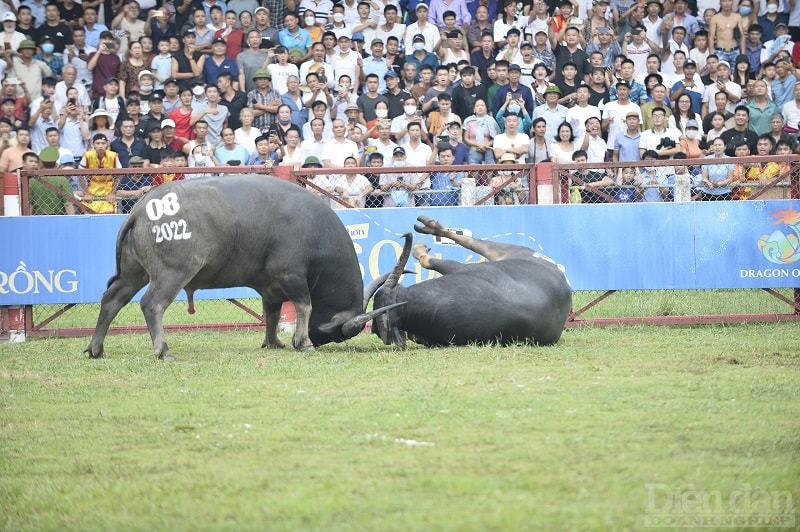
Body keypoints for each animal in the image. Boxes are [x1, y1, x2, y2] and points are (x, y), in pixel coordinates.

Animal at [85, 177, 396, 360]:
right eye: (336, 334)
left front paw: (274, 342)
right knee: (152, 304)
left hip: (133, 272)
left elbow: (271, 314)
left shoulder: (271, 287)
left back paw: (96, 348)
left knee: (112, 299)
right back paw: (163, 350)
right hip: (173, 272)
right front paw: (302, 341)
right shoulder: (291, 275)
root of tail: (139, 210)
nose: (317, 341)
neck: (316, 230)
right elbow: (304, 306)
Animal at [372, 216, 572, 350]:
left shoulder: (460, 268)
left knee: (469, 241)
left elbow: (427, 261)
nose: (373, 329)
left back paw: (429, 229)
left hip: (508, 251)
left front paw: (421, 250)